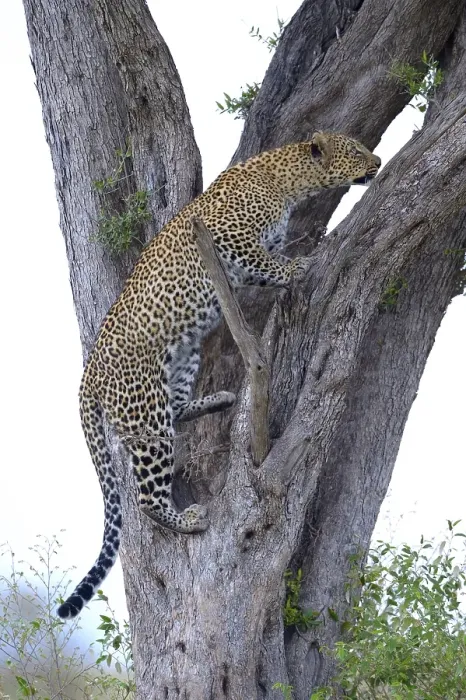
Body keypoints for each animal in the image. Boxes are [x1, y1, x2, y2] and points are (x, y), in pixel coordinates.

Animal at [57, 131, 381, 618]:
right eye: (356, 150)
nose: (377, 160)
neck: (286, 182)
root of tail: (88, 374)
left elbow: (267, 266)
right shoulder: (228, 236)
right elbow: (269, 264)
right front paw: (300, 266)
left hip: (182, 362)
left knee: (178, 409)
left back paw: (221, 400)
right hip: (147, 417)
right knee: (145, 494)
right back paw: (186, 519)